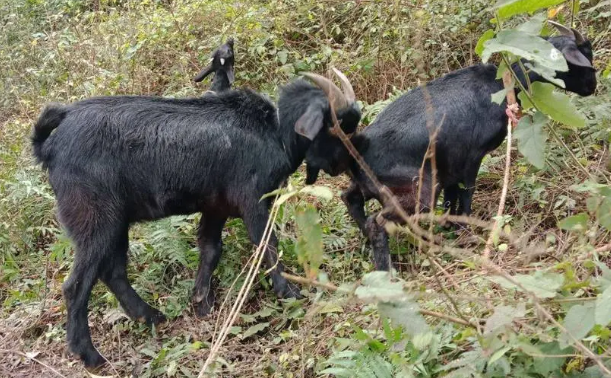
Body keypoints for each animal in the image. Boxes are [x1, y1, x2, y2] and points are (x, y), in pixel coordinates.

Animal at [31, 69, 360, 368]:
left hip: (116, 222)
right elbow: (267, 245)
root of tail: (51, 144)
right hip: (95, 220)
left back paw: (150, 316)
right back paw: (90, 355)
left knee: (113, 272)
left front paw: (202, 301)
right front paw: (288, 291)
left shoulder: (216, 207)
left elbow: (211, 250)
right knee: (76, 285)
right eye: (336, 125)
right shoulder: (252, 200)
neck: (274, 130)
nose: (350, 165)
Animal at [310, 20, 596, 270]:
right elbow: (467, 192)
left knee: (349, 198)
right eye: (585, 55)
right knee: (377, 222)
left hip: (374, 185)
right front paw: (465, 229)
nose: (593, 86)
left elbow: (451, 197)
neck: (502, 87)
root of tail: (358, 146)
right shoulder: (472, 156)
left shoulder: (449, 164)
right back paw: (390, 270)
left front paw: (449, 225)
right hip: (419, 190)